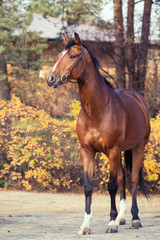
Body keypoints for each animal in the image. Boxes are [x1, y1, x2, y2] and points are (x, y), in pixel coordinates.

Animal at [46, 32, 150, 233]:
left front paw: (111, 223)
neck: (96, 110)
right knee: (123, 178)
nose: (51, 79)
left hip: (137, 148)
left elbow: (111, 186)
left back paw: (135, 218)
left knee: (132, 179)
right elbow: (88, 186)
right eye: (59, 55)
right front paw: (86, 225)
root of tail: (138, 98)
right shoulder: (86, 151)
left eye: (72, 56)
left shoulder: (113, 149)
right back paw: (122, 217)